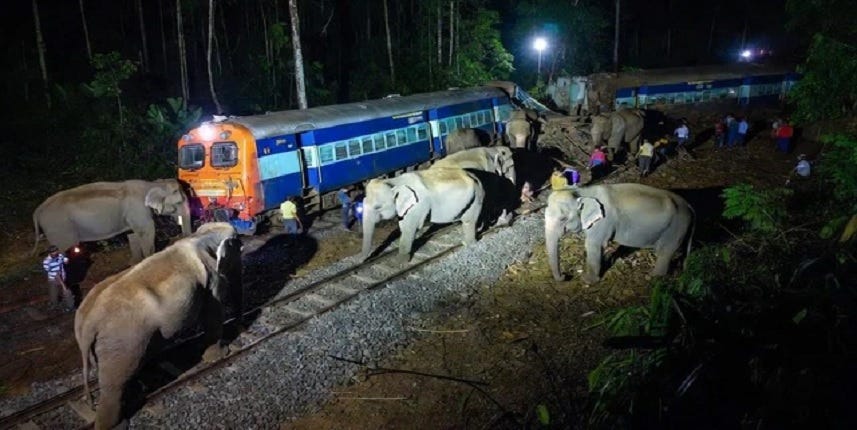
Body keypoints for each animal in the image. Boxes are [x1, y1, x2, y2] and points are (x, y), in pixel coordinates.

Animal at [31, 179, 192, 264]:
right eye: (179, 202)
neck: (152, 184)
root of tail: (37, 210)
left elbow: (132, 235)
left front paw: (134, 263)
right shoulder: (139, 210)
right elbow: (148, 231)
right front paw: (149, 259)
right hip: (60, 229)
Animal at [74, 222, 242, 430]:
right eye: (240, 249)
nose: (240, 324)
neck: (202, 235)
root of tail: (88, 323)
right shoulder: (212, 279)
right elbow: (214, 313)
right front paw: (220, 356)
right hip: (123, 339)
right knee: (114, 385)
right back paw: (119, 424)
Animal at [545, 183, 694, 284]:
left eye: (562, 219)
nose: (566, 276)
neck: (583, 191)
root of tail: (689, 206)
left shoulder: (603, 221)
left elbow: (593, 245)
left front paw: (587, 281)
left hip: (676, 227)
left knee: (665, 252)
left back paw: (652, 277)